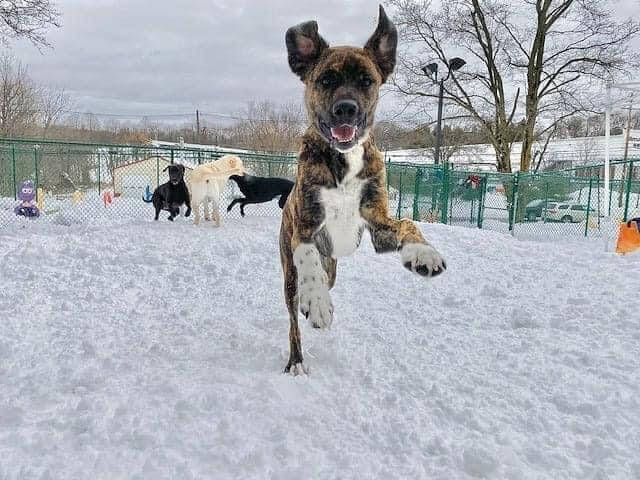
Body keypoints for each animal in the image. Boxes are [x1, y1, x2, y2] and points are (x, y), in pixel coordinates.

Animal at [280, 6, 444, 376]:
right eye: (325, 80)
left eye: (366, 81)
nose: (346, 108)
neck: (343, 160)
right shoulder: (305, 226)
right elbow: (307, 254)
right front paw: (318, 302)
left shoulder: (377, 221)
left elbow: (409, 222)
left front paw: (422, 252)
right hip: (288, 276)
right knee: (293, 318)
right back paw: (297, 358)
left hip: (334, 267)